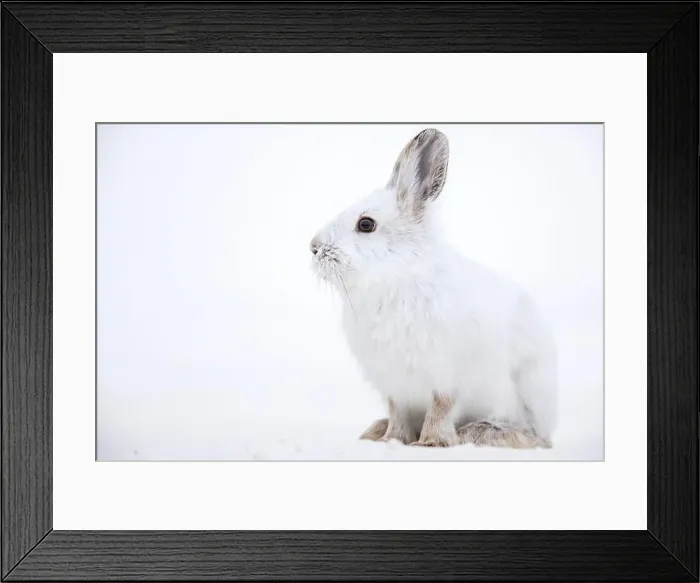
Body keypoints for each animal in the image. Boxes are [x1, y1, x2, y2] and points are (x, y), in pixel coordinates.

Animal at [309, 128, 557, 449]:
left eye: (366, 224)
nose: (314, 247)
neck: (396, 276)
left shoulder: (447, 377)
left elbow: (441, 408)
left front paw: (431, 443)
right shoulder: (395, 385)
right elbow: (397, 411)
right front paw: (392, 440)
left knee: (532, 436)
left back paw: (482, 432)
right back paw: (375, 430)